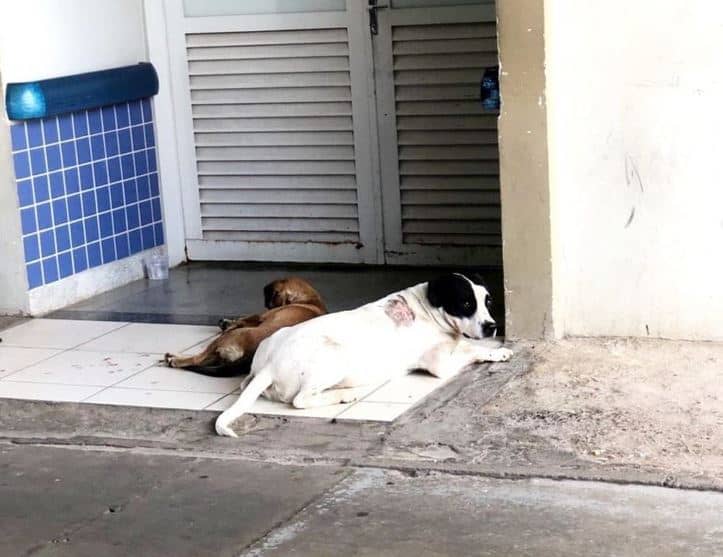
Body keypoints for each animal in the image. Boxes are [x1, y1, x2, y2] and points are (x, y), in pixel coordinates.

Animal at [165, 276, 326, 376]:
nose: (267, 305)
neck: (309, 300)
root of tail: (250, 354)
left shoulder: (259, 317)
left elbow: (244, 318)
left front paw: (229, 323)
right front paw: (227, 322)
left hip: (222, 342)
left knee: (197, 358)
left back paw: (175, 359)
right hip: (219, 355)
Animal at [216, 272, 516, 436]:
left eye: (488, 301)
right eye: (465, 303)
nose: (492, 326)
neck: (429, 308)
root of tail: (269, 366)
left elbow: (469, 346)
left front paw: (498, 350)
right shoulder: (441, 364)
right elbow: (472, 352)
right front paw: (494, 353)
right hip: (334, 357)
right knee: (301, 400)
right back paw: (344, 395)